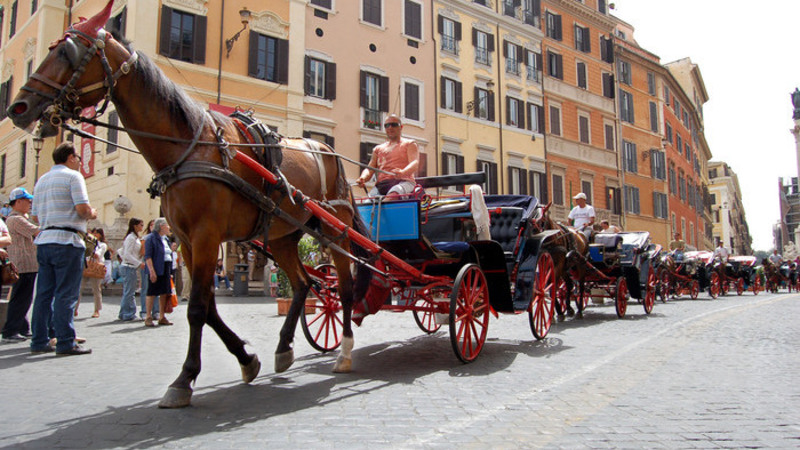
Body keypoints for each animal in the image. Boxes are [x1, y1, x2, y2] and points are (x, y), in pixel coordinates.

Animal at [7, 0, 370, 408]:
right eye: (50, 49)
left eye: (67, 53)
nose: (19, 106)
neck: (189, 147)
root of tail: (329, 151)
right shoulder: (183, 240)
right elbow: (206, 305)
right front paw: (247, 358)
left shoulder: (206, 235)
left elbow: (196, 307)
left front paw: (184, 379)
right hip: (283, 235)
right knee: (305, 284)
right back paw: (284, 348)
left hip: (335, 232)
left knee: (344, 288)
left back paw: (344, 352)